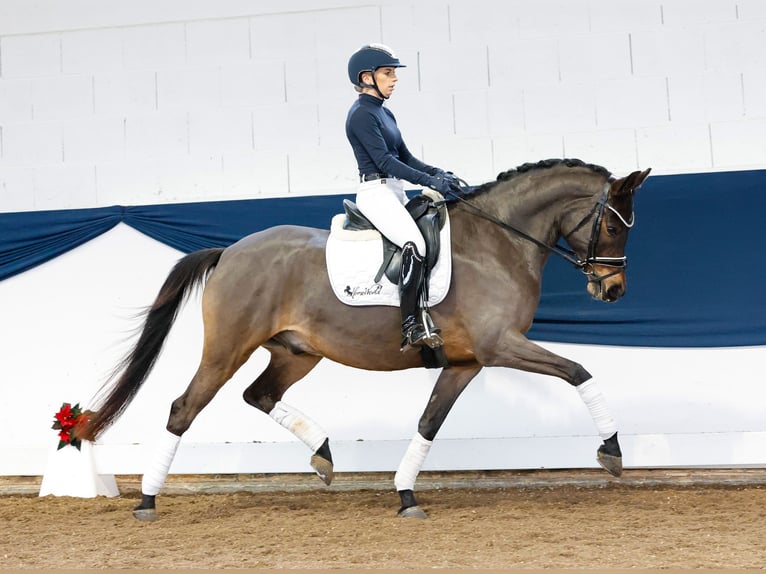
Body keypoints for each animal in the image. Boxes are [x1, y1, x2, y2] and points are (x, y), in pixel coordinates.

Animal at [79, 158, 656, 520]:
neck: (498, 242)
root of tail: (230, 251)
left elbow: (428, 423)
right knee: (184, 408)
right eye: (613, 227)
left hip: (296, 353)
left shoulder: (465, 362)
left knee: (259, 394)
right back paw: (147, 502)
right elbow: (579, 371)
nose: (613, 290)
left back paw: (323, 455)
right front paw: (612, 451)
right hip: (227, 348)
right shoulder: (499, 345)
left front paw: (406, 494)